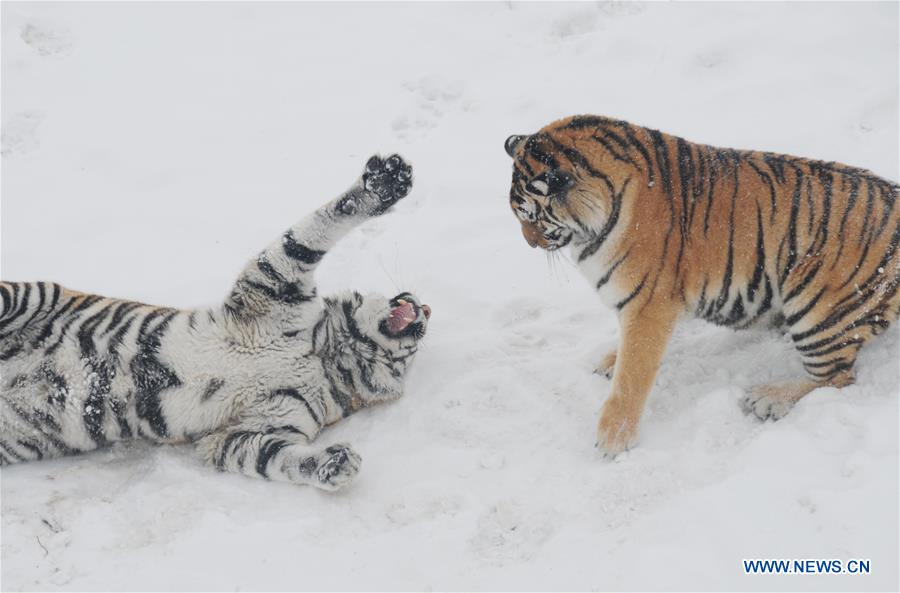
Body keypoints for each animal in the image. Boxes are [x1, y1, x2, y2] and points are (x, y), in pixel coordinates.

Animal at [0, 154, 432, 490]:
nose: (425, 307)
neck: (328, 356)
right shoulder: (274, 284)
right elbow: (315, 230)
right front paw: (385, 182)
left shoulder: (249, 431)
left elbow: (274, 458)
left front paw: (333, 465)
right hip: (30, 293)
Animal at [502, 117, 900, 458]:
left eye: (530, 216)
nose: (529, 243)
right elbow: (628, 349)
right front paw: (610, 362)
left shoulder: (649, 303)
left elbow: (633, 375)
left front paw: (613, 438)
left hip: (817, 309)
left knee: (838, 376)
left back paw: (768, 398)